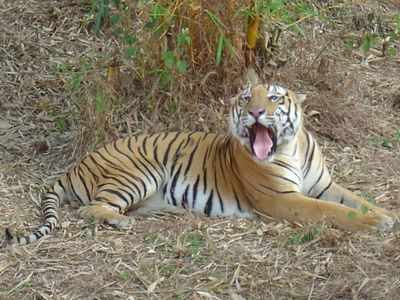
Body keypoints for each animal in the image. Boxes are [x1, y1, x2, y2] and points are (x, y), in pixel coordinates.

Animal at [3, 74, 396, 245]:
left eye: (272, 98)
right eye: (245, 97)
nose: (254, 112)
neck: (291, 147)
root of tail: (77, 165)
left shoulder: (326, 184)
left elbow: (356, 200)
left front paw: (386, 214)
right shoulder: (282, 199)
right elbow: (333, 212)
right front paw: (377, 224)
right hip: (139, 172)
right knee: (90, 209)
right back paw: (121, 222)